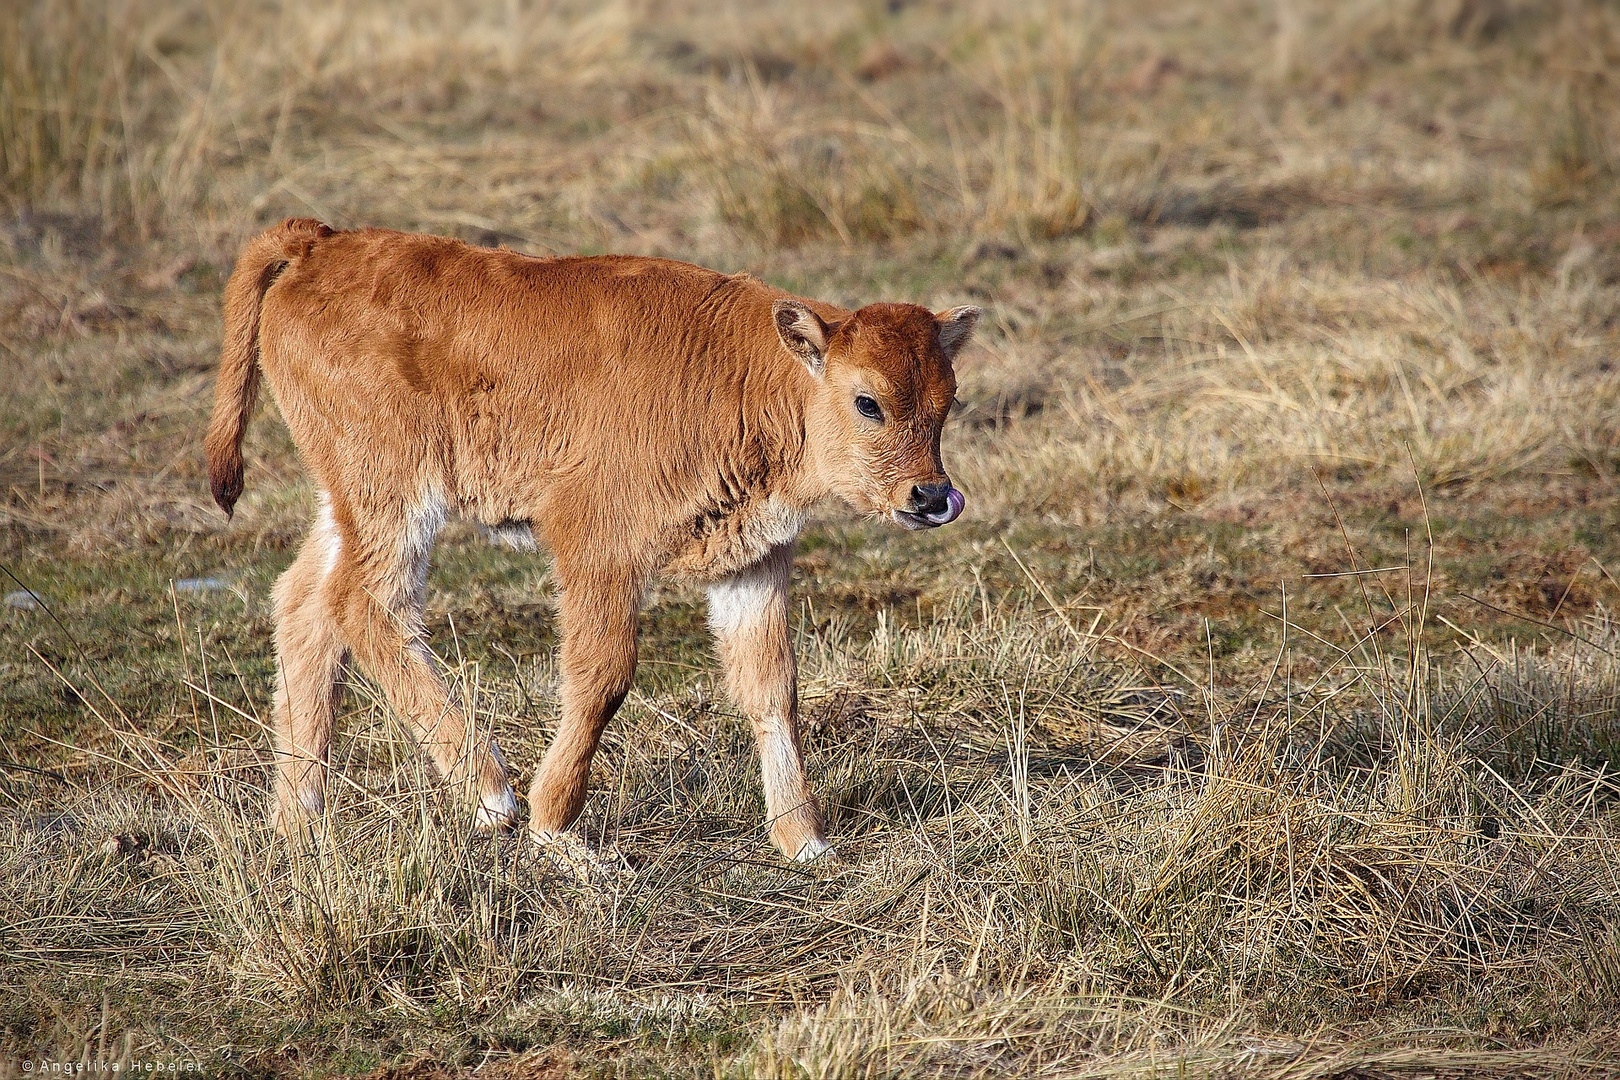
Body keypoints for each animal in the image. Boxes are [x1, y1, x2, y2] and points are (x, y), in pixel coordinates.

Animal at [208, 220, 978, 861]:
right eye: (868, 401)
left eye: (948, 402)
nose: (932, 497)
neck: (746, 375)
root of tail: (322, 243)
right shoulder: (599, 547)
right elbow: (602, 675)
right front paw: (555, 822)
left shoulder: (754, 561)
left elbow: (771, 688)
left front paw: (804, 839)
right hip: (394, 494)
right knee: (367, 604)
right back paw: (491, 792)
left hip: (344, 499)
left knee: (306, 605)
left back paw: (298, 823)